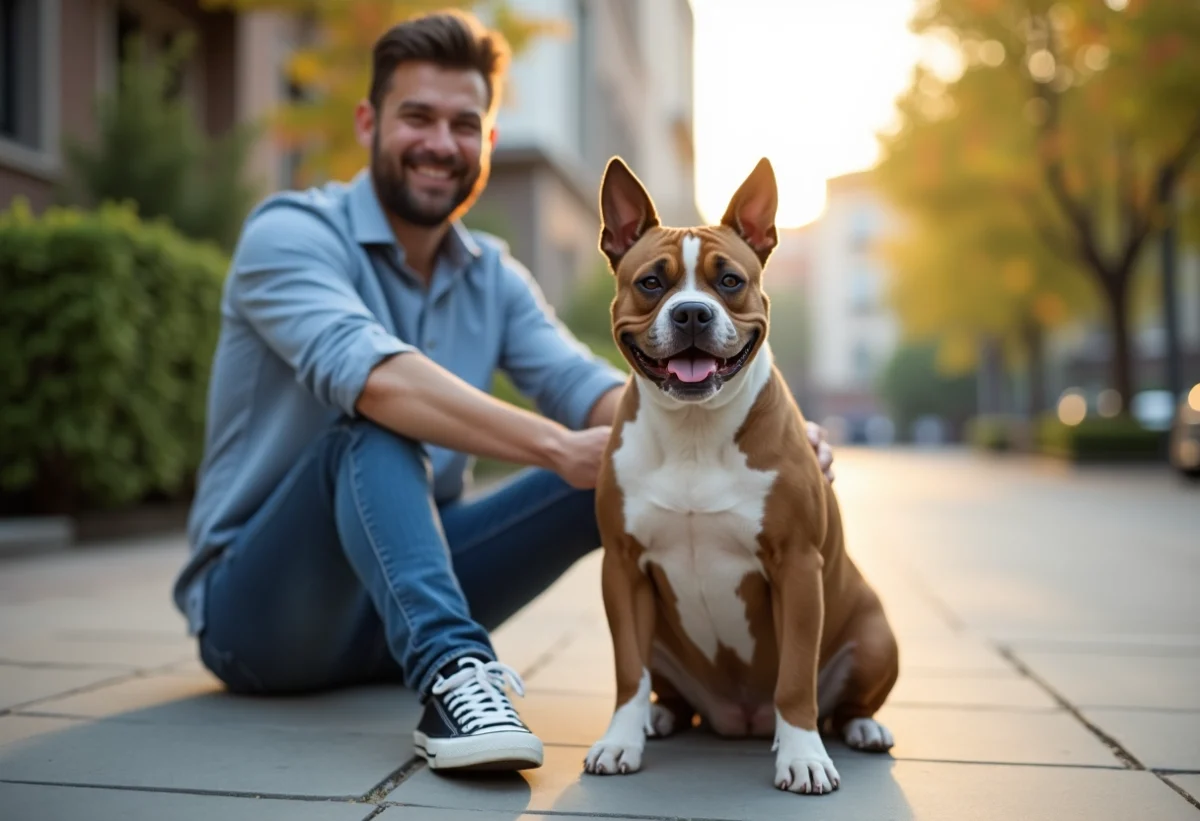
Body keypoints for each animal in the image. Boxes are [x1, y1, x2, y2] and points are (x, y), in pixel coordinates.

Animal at [580, 156, 902, 796]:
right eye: (651, 283)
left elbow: (796, 678)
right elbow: (628, 672)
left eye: (729, 281)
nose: (692, 312)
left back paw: (861, 728)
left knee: (842, 703)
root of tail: (738, 719)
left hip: (878, 637)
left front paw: (802, 755)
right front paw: (620, 740)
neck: (695, 430)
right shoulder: (622, 568)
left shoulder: (798, 567)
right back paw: (660, 717)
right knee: (667, 689)